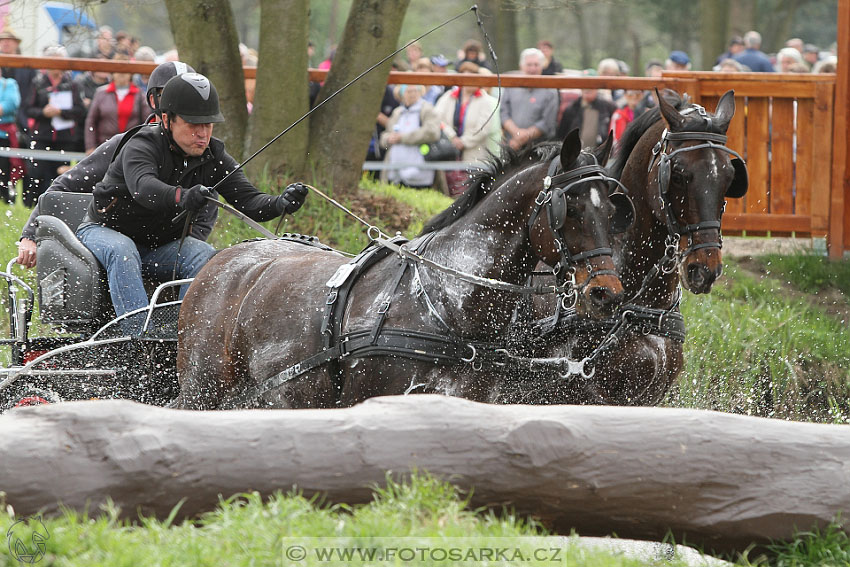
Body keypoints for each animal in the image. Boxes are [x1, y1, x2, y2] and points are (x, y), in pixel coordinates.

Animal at [174, 131, 636, 410]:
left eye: (612, 209)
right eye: (568, 208)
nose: (607, 293)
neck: (446, 300)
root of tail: (218, 263)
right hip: (202, 391)